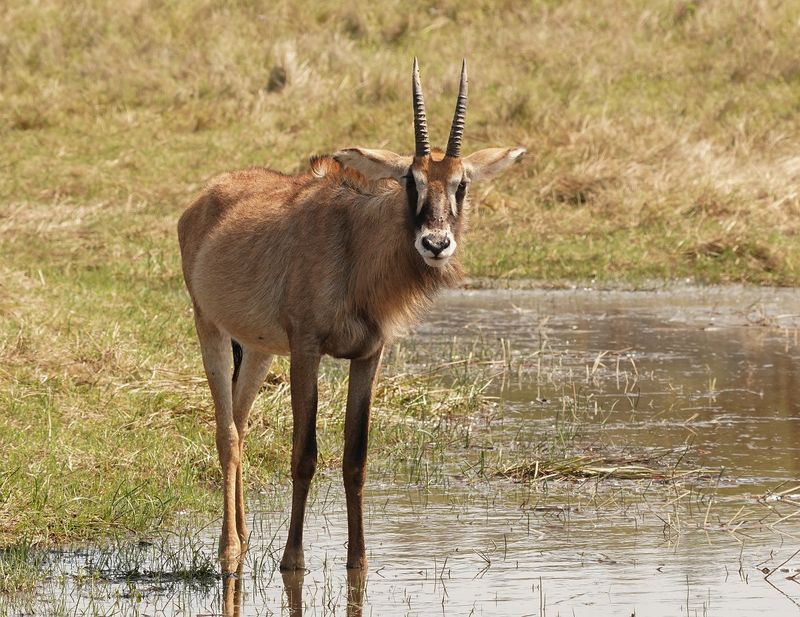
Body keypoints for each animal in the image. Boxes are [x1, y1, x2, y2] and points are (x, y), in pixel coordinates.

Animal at [178, 58, 525, 573]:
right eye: (410, 180)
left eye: (461, 184)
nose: (436, 243)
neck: (355, 245)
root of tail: (204, 199)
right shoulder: (307, 350)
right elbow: (305, 453)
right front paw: (293, 559)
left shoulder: (369, 356)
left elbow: (355, 458)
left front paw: (357, 560)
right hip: (211, 329)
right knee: (227, 434)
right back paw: (230, 550)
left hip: (259, 350)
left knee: (239, 421)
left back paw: (243, 535)